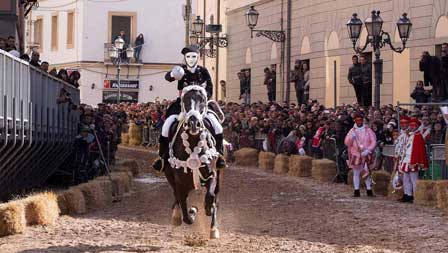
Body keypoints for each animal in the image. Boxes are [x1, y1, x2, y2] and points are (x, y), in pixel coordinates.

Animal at [164, 84, 222, 239]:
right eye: (184, 100)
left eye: (202, 100)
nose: (193, 124)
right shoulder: (179, 183)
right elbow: (186, 214)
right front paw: (192, 211)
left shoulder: (212, 174)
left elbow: (210, 197)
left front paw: (207, 210)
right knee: (177, 198)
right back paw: (177, 214)